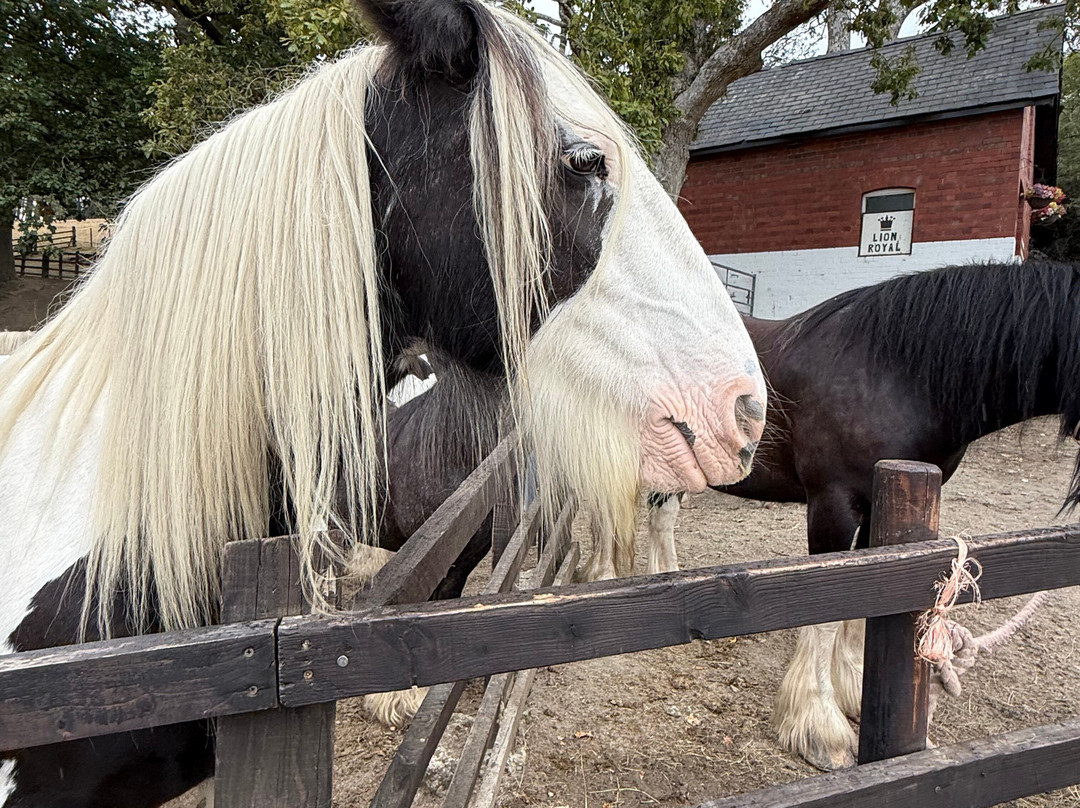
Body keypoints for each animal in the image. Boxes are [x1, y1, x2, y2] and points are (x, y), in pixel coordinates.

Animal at [639, 260, 1080, 770]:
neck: (897, 375)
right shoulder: (834, 505)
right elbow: (828, 611)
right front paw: (820, 733)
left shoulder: (880, 511)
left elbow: (866, 601)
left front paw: (853, 691)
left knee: (660, 519)